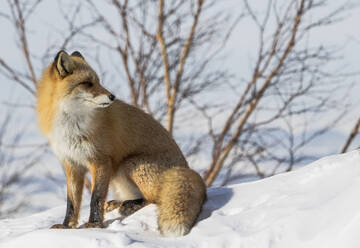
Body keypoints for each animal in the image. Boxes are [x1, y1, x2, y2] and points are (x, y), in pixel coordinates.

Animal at [36, 50, 207, 236]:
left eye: (98, 81)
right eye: (87, 83)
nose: (112, 96)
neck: (72, 126)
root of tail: (188, 169)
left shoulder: (101, 161)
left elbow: (95, 198)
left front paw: (94, 224)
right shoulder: (72, 165)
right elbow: (72, 202)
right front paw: (67, 226)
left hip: (130, 165)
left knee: (154, 199)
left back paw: (128, 206)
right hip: (118, 176)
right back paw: (118, 203)